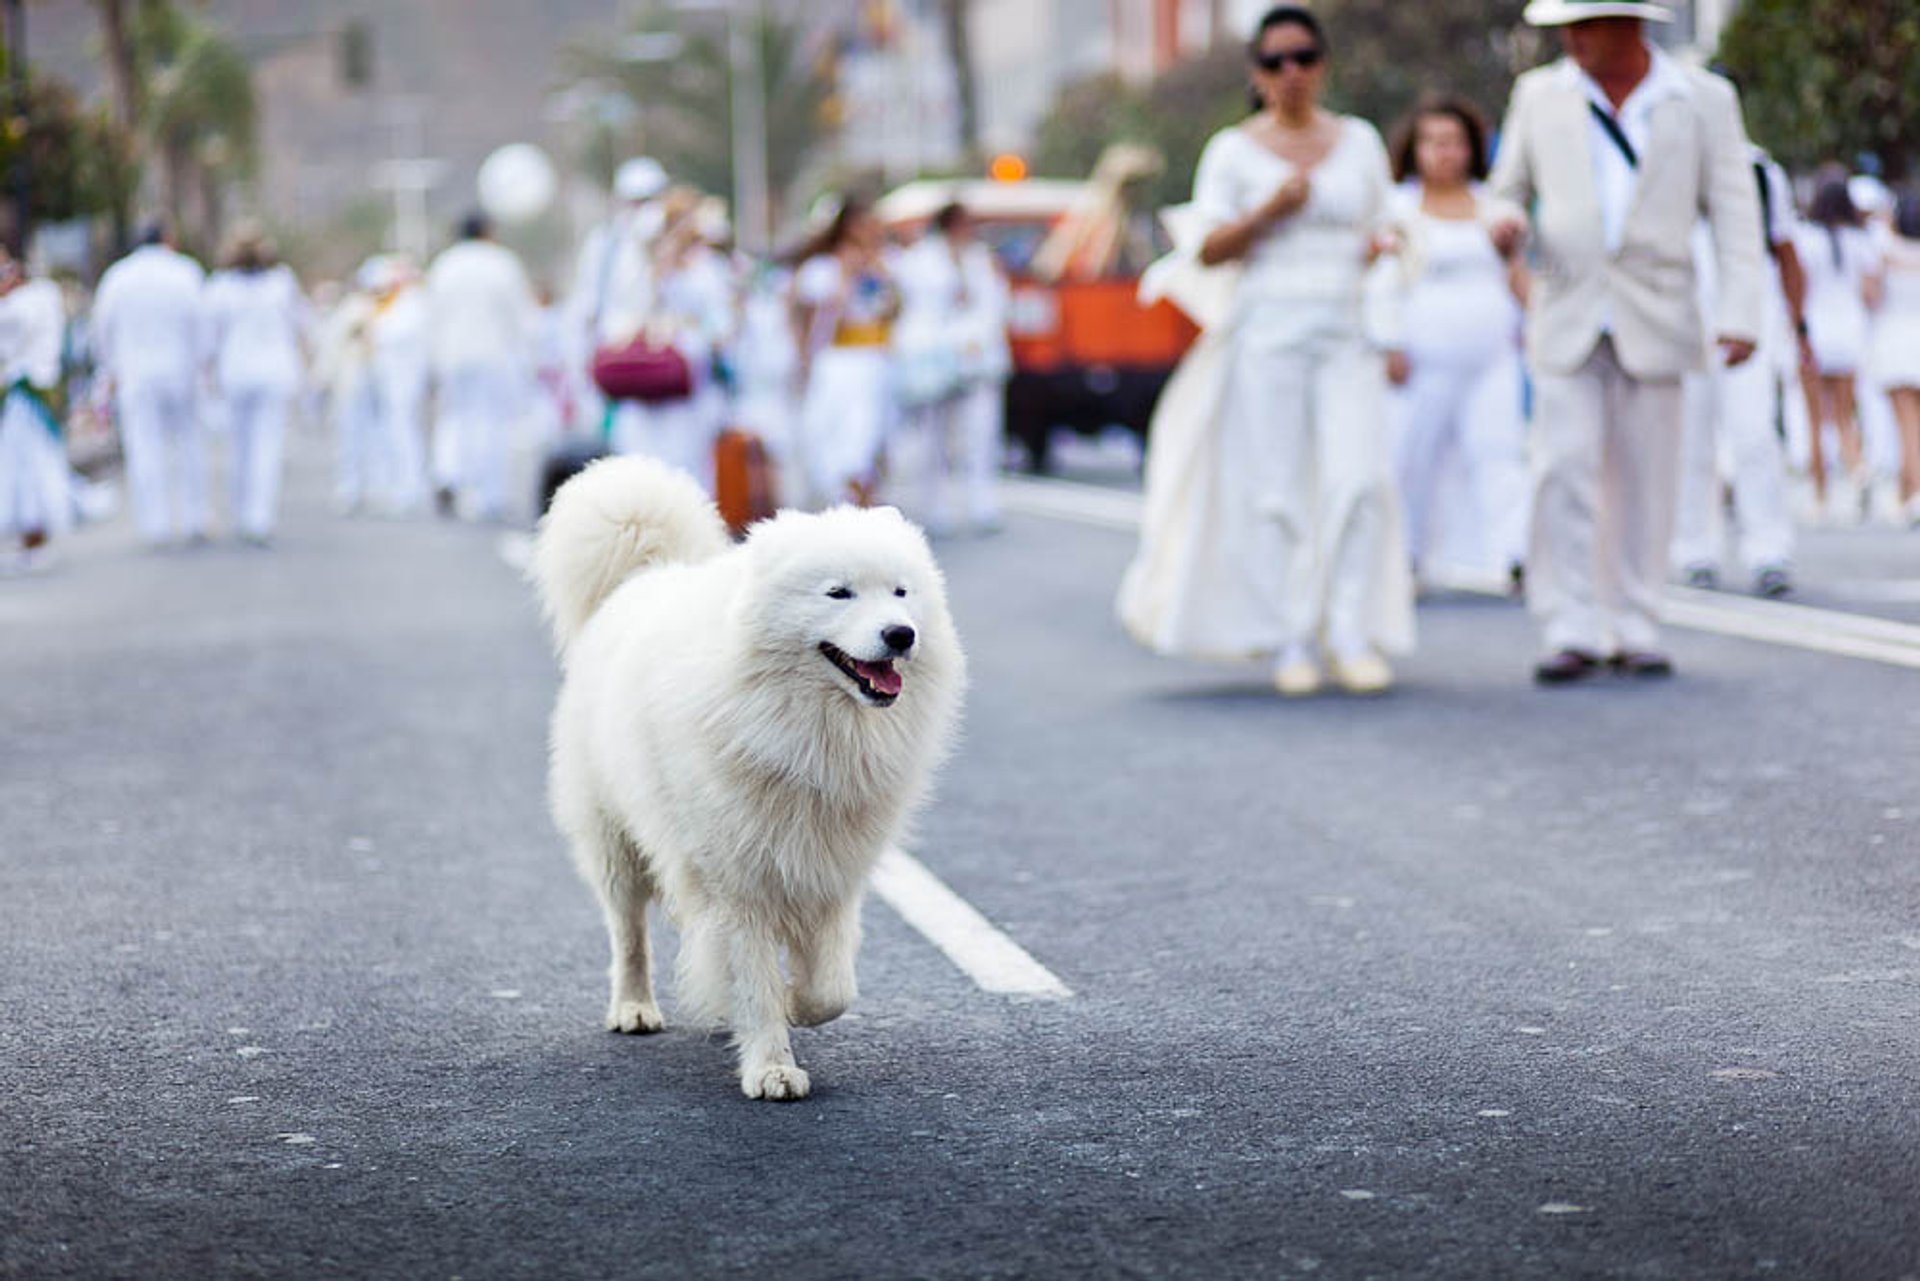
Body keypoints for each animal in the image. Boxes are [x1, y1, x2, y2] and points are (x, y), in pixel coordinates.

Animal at [533, 459, 967, 1106]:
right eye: (838, 593)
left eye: (901, 591)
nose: (901, 634)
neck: (808, 731)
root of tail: (641, 577)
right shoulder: (738, 884)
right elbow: (754, 979)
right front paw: (771, 1067)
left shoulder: (831, 872)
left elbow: (832, 988)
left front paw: (795, 1007)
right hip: (616, 843)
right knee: (629, 933)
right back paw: (634, 1008)